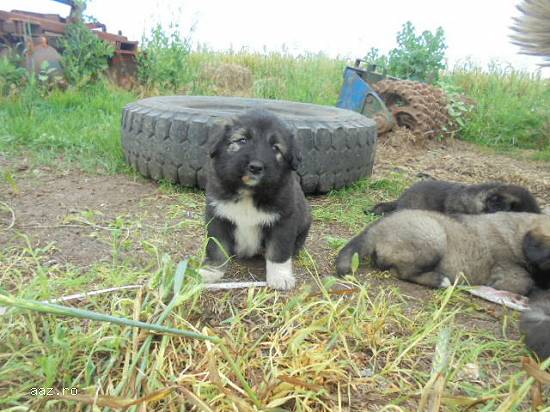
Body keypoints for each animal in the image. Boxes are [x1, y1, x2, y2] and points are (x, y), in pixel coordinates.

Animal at [199, 109, 312, 290]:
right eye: (242, 140)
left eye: (275, 148)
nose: (256, 167)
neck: (248, 193)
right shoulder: (217, 217)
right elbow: (216, 248)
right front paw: (211, 271)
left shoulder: (283, 221)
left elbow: (279, 251)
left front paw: (280, 276)